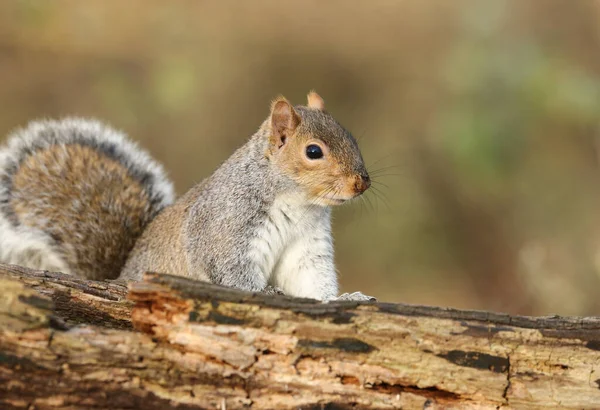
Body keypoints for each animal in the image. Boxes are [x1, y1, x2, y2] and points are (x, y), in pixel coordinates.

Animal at [0, 92, 376, 302]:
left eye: (352, 137)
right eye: (313, 151)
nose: (362, 183)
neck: (298, 204)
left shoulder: (306, 247)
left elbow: (312, 280)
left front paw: (346, 298)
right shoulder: (226, 229)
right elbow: (232, 273)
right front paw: (267, 293)